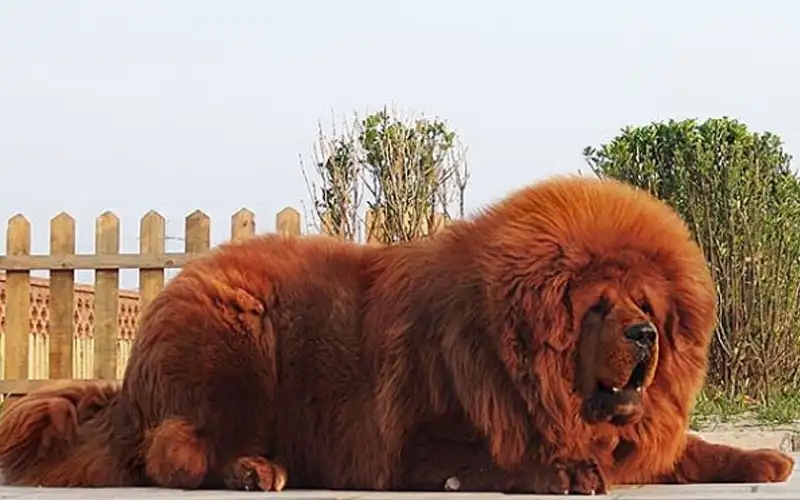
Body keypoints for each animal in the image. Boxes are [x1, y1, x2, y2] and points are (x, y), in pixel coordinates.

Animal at [0, 176, 793, 494]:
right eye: (596, 306)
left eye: (647, 304)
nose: (643, 333)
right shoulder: (413, 443)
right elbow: (496, 458)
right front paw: (560, 471)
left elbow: (692, 450)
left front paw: (762, 460)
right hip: (237, 341)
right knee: (175, 454)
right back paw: (253, 470)